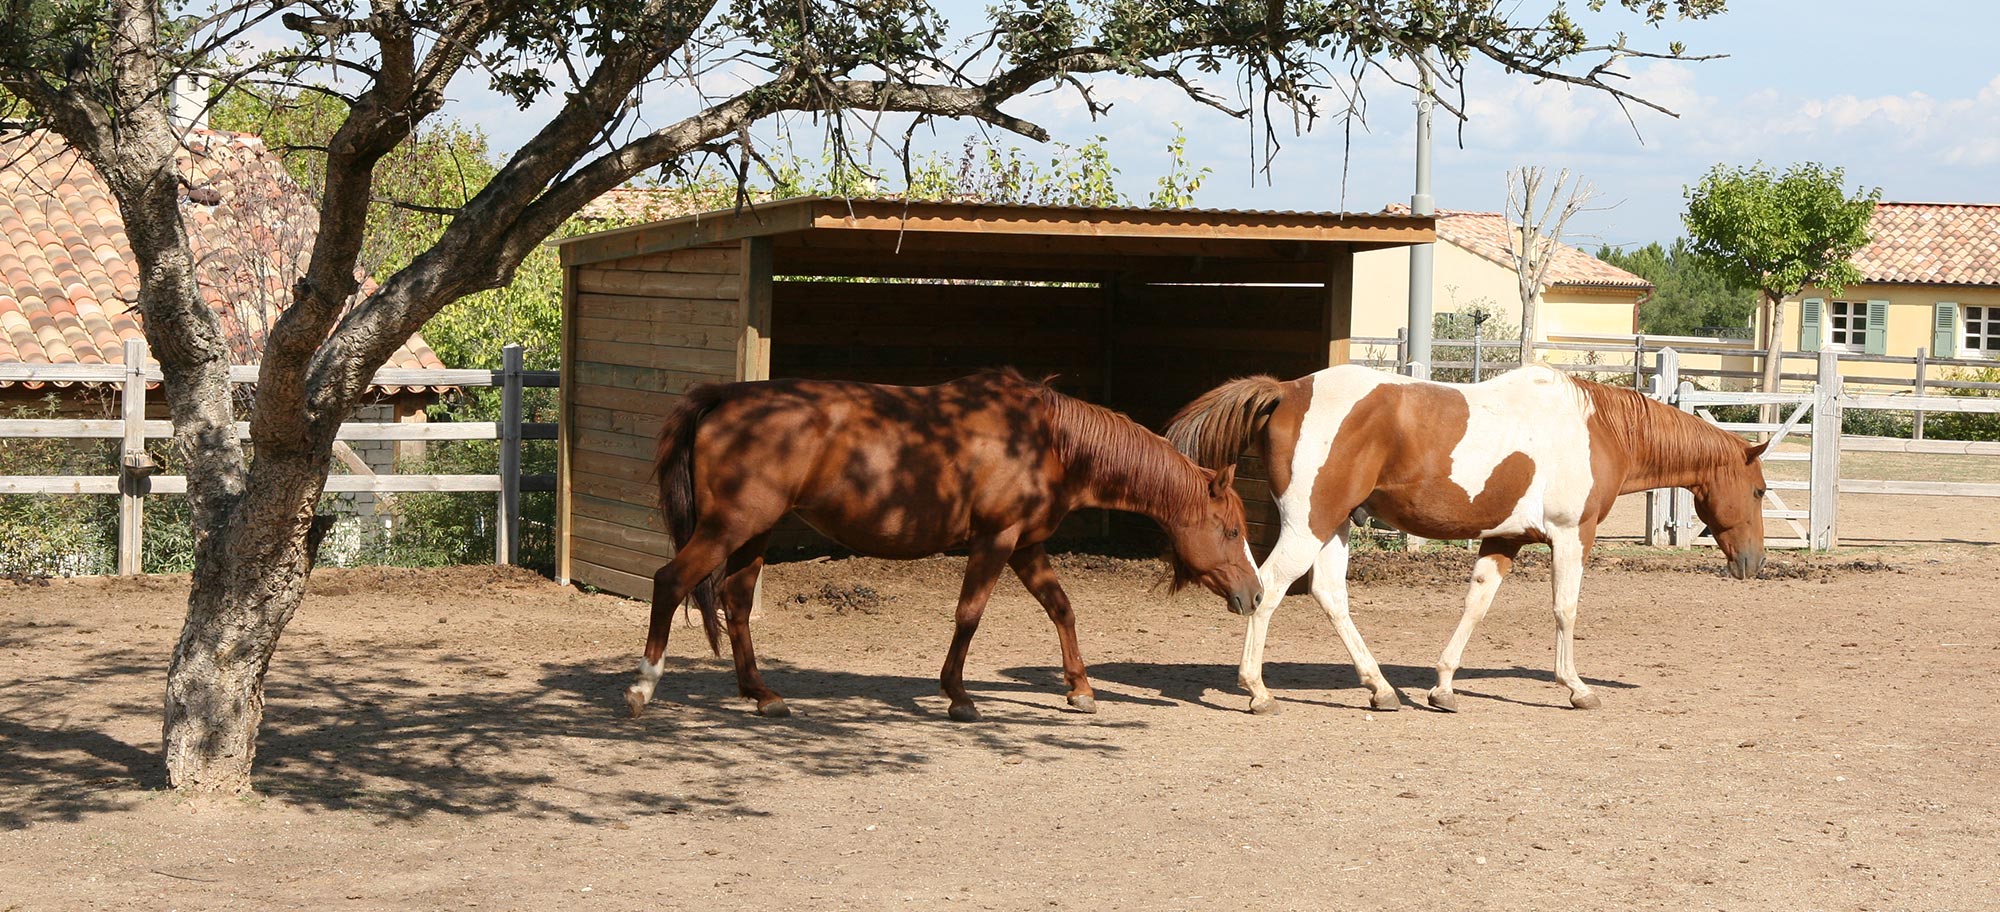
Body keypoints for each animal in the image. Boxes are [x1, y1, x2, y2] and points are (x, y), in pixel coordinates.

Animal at [624, 368, 1256, 720]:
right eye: (1231, 531)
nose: (1253, 595)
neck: (1049, 440)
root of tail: (725, 398)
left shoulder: (1026, 547)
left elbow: (1062, 609)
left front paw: (1080, 689)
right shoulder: (996, 541)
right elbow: (969, 614)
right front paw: (958, 696)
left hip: (753, 534)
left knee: (735, 602)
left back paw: (762, 694)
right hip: (727, 528)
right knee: (671, 582)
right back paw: (644, 688)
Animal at [1168, 364, 1776, 712]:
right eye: (1759, 490)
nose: (1753, 562)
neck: (1596, 428)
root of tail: (1288, 391)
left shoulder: (1503, 540)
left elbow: (1476, 605)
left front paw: (1442, 688)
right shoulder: (1570, 536)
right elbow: (1565, 609)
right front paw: (1577, 687)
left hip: (1334, 526)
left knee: (1329, 594)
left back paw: (1381, 690)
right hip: (1309, 524)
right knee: (1267, 590)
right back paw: (1257, 691)